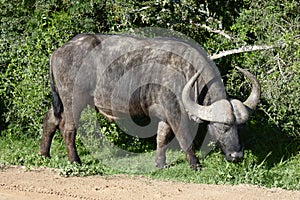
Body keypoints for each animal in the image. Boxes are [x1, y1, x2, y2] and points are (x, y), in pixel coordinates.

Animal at [39, 33, 260, 170]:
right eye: (222, 127)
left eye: (240, 127)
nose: (237, 155)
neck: (189, 73)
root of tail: (58, 51)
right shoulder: (174, 112)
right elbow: (184, 138)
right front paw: (195, 164)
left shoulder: (164, 115)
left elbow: (161, 138)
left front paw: (160, 163)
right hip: (73, 100)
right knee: (68, 128)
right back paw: (75, 161)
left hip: (61, 101)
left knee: (51, 119)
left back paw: (44, 154)